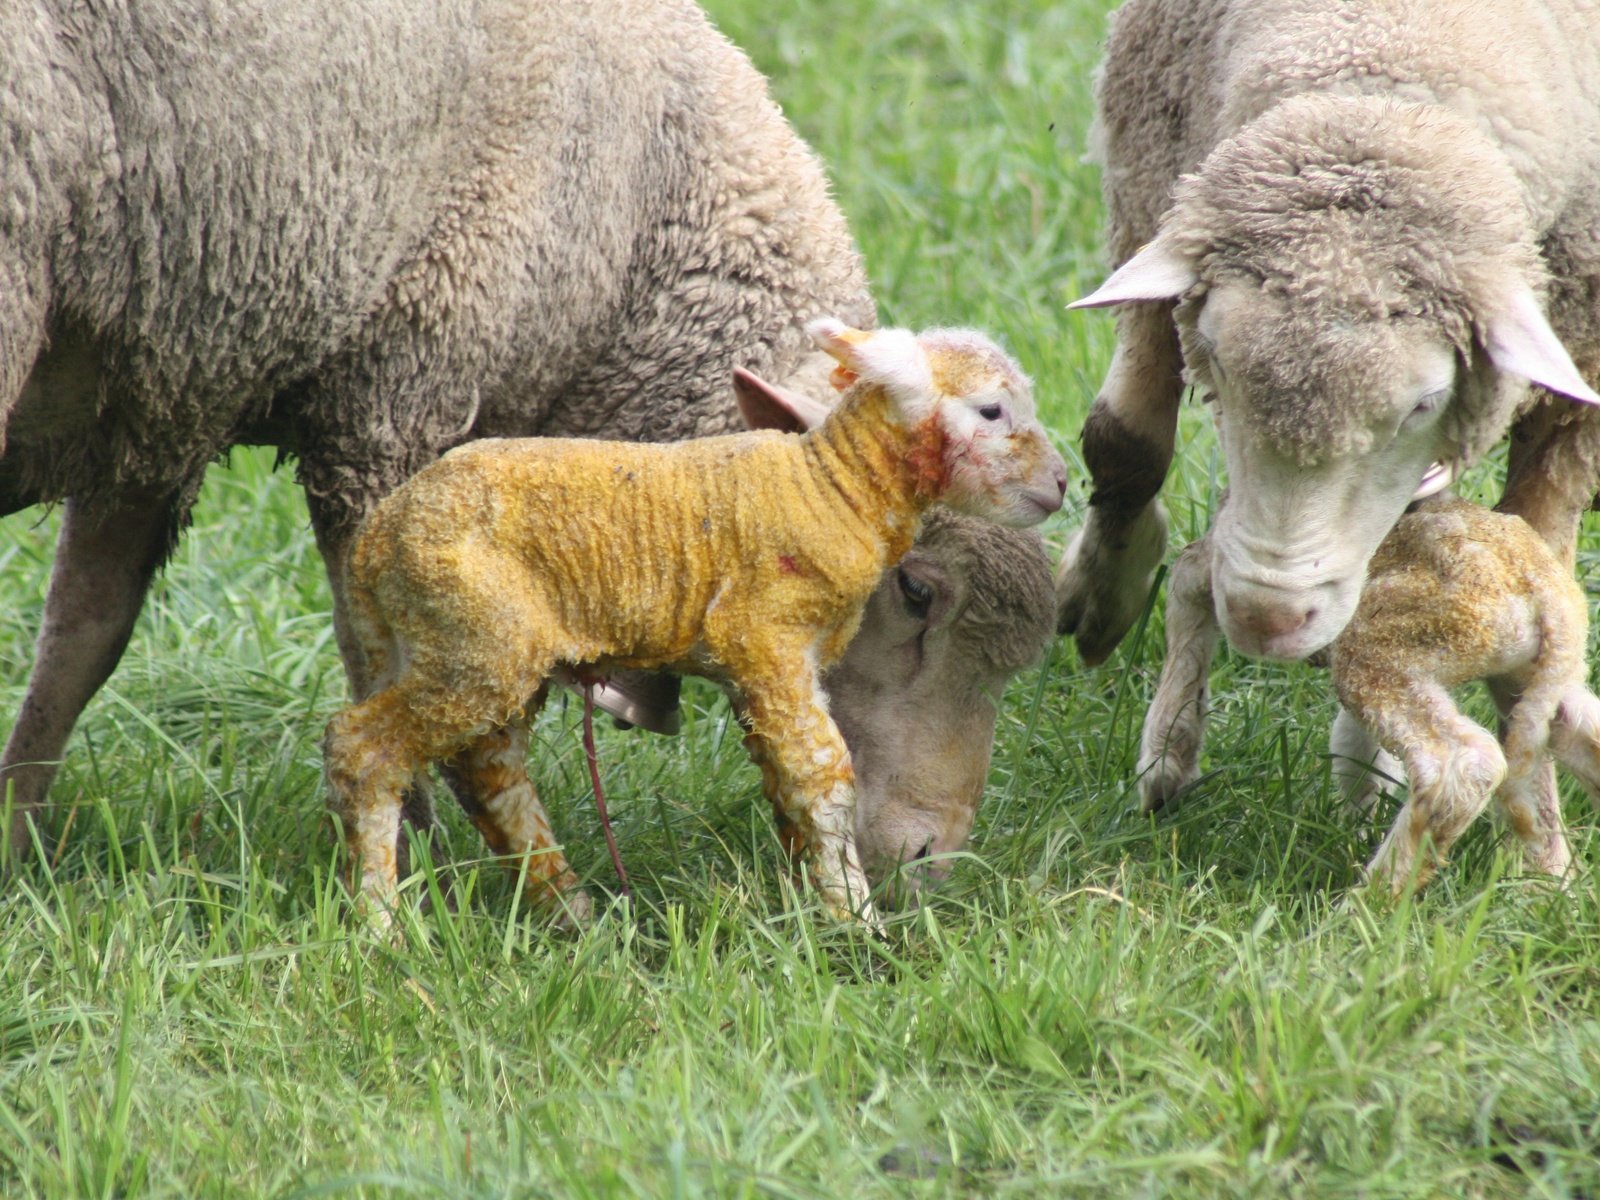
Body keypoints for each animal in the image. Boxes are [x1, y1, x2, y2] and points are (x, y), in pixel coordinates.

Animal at [321, 321, 1075, 928]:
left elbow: (784, 784)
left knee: (490, 770)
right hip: (475, 642)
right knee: (366, 749)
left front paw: (810, 903)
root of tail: (378, 541)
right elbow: (826, 778)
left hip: (477, 645)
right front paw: (858, 924)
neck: (831, 487)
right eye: (992, 410)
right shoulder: (768, 637)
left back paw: (571, 911)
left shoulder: (765, 667)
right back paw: (382, 924)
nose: (1064, 483)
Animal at [1049, 0, 1600, 672]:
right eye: (1216, 362)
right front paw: (1100, 597)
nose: (1267, 617)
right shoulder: (1149, 198)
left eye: (1423, 405)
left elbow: (1539, 518)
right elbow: (1124, 443)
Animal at [1132, 496, 1593, 896]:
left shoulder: (1244, 580)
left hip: (1391, 642)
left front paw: (1163, 770)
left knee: (1460, 765)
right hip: (1532, 671)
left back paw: (1357, 910)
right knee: (1575, 729)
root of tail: (1542, 591)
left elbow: (1187, 577)